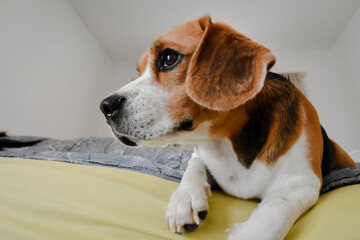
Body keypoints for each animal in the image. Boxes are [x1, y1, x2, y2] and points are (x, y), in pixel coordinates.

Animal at [100, 16, 356, 240]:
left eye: (169, 57)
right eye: (138, 71)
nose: (105, 107)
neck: (223, 143)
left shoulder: (302, 183)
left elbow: (272, 212)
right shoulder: (199, 154)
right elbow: (194, 166)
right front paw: (184, 199)